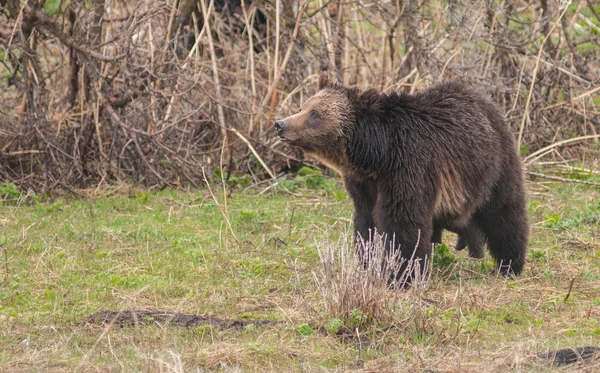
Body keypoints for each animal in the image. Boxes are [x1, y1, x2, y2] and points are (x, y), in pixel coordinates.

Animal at [274, 74, 528, 280]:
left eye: (314, 113)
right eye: (304, 106)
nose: (280, 124)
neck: (377, 154)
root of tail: (485, 101)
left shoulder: (408, 167)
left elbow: (404, 222)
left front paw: (401, 274)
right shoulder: (364, 184)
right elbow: (367, 222)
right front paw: (369, 263)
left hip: (494, 165)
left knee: (504, 213)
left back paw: (510, 264)